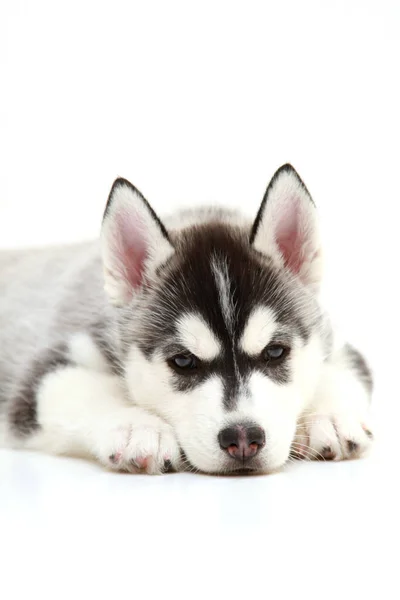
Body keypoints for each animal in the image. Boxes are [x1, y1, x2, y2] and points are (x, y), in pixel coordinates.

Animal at [0, 165, 374, 474]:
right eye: (183, 361)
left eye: (275, 352)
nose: (243, 438)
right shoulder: (43, 375)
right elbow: (84, 388)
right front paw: (139, 427)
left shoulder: (335, 342)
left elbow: (339, 372)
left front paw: (330, 417)